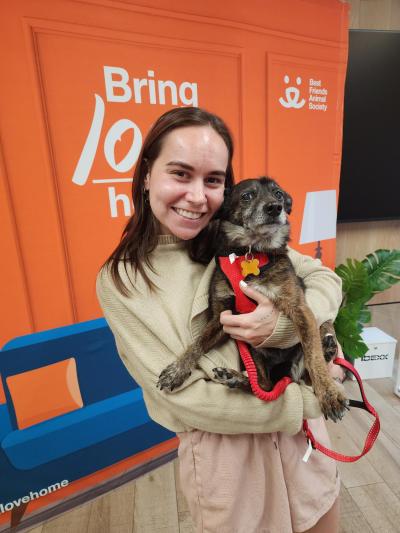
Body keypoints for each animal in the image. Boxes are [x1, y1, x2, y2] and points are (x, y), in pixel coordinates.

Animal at [158, 177, 348, 422]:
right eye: (247, 196)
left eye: (278, 194)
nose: (275, 208)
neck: (250, 252)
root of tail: (285, 371)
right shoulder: (222, 316)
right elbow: (197, 343)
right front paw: (177, 371)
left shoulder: (301, 310)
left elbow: (313, 356)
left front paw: (329, 394)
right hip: (252, 351)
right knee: (265, 385)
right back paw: (234, 377)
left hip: (313, 321)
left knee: (313, 353)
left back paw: (328, 348)